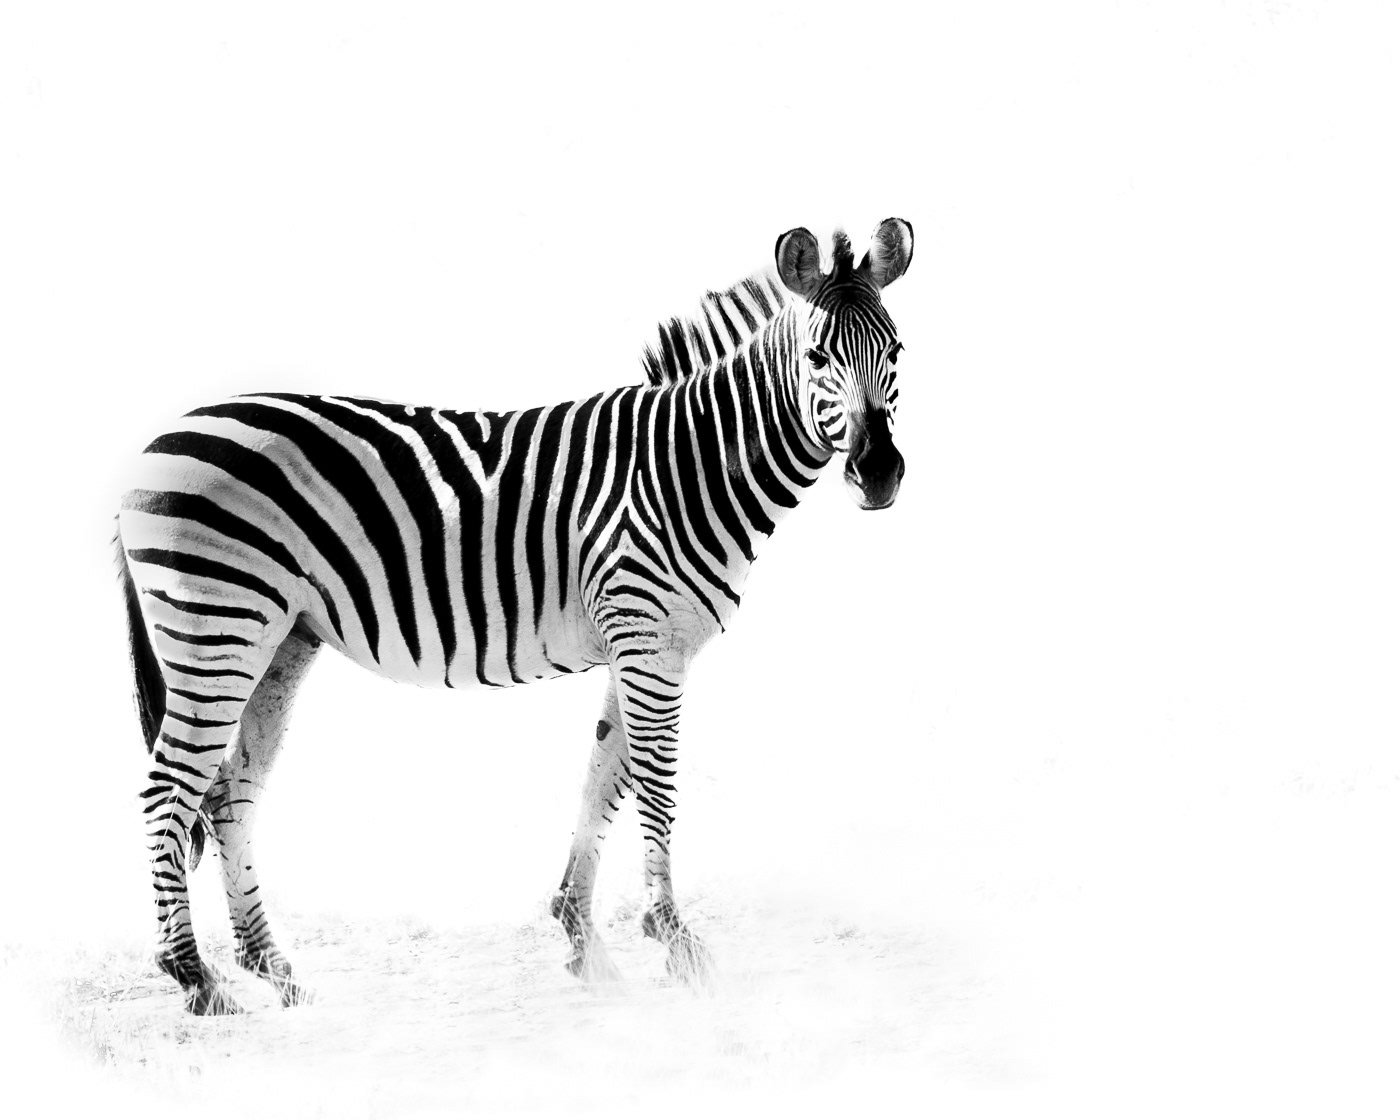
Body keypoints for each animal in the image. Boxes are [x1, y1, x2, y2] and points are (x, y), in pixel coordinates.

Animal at [115, 218, 914, 1014]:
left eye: (897, 352)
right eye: (816, 358)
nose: (878, 475)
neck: (689, 466)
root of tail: (155, 441)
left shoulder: (640, 644)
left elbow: (602, 777)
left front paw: (583, 939)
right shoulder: (648, 640)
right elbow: (656, 787)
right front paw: (677, 943)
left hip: (278, 638)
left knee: (230, 792)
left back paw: (275, 970)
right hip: (217, 625)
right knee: (166, 793)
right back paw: (196, 978)